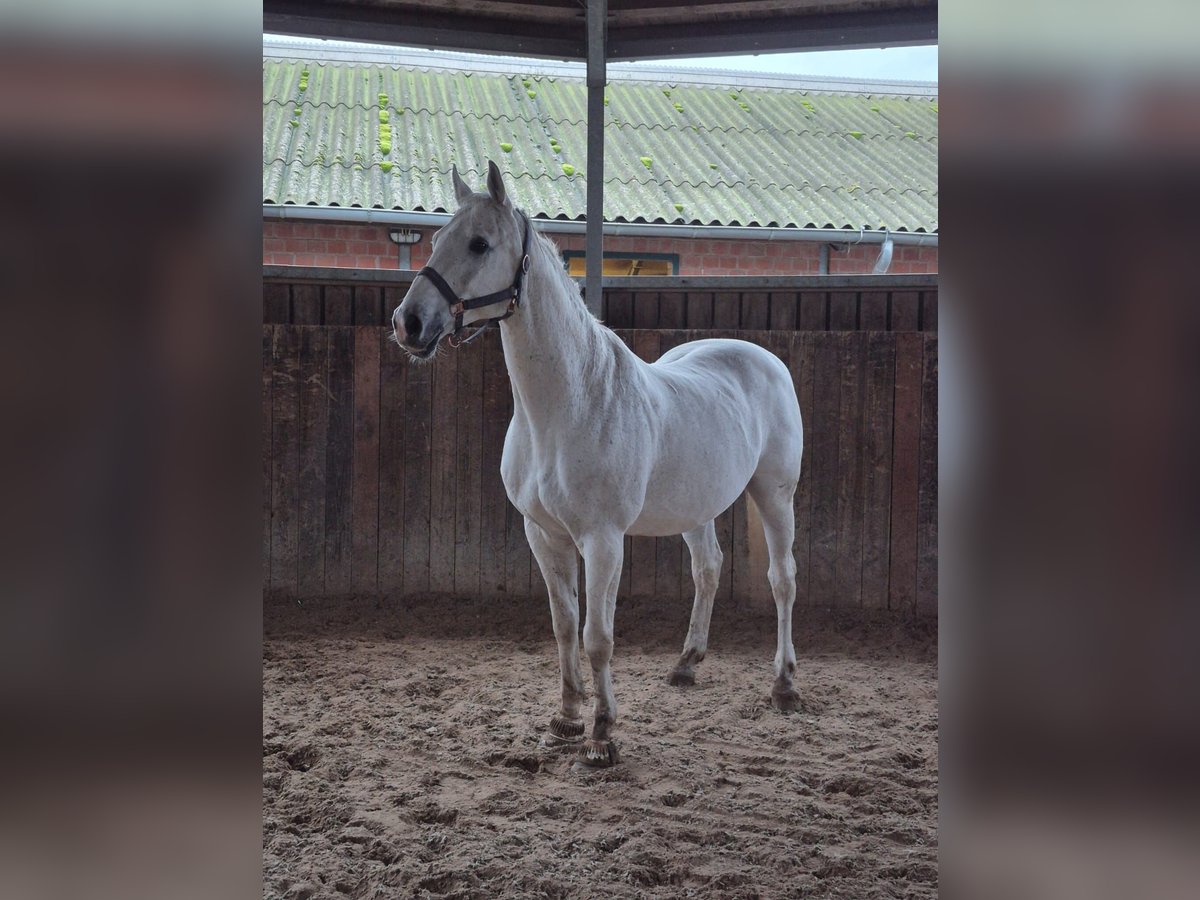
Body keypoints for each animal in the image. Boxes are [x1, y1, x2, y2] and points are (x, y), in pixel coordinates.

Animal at [396, 162, 806, 768]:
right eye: (434, 240)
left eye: (479, 243)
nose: (409, 323)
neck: (568, 407)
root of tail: (765, 360)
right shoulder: (543, 534)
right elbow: (565, 625)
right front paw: (567, 717)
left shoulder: (603, 539)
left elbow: (598, 635)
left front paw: (602, 732)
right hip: (697, 505)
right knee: (708, 568)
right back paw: (686, 664)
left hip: (774, 494)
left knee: (783, 580)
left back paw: (784, 685)